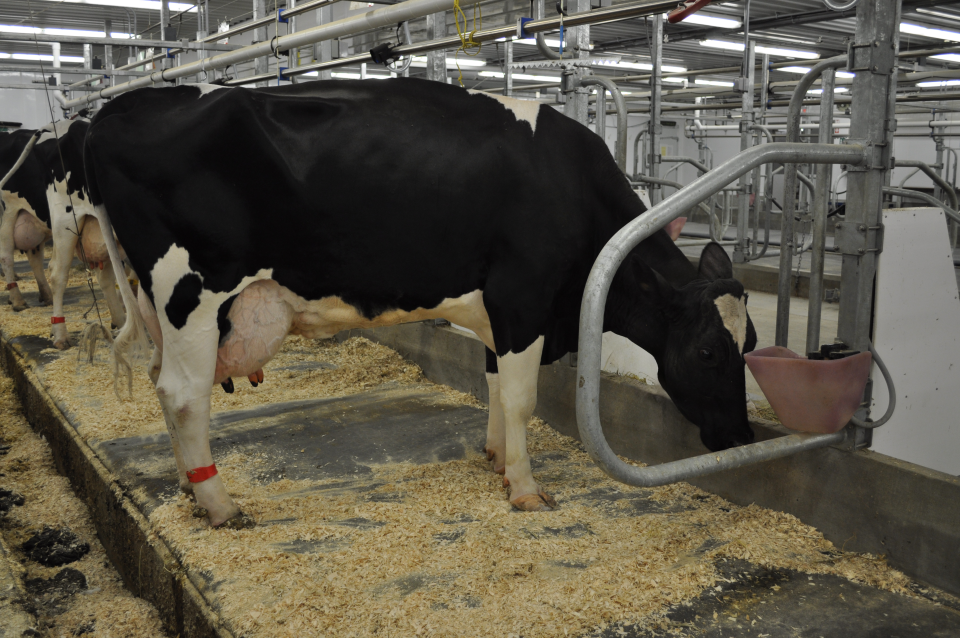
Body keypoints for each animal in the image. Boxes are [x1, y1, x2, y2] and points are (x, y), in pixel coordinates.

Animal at [84, 80, 756, 528]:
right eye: (708, 351)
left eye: (750, 344)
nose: (742, 435)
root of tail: (119, 108)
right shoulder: (522, 299)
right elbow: (521, 396)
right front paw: (525, 487)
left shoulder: (496, 311)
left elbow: (493, 384)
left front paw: (496, 458)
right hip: (192, 294)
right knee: (182, 393)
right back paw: (220, 503)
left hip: (159, 305)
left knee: (161, 383)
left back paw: (186, 487)